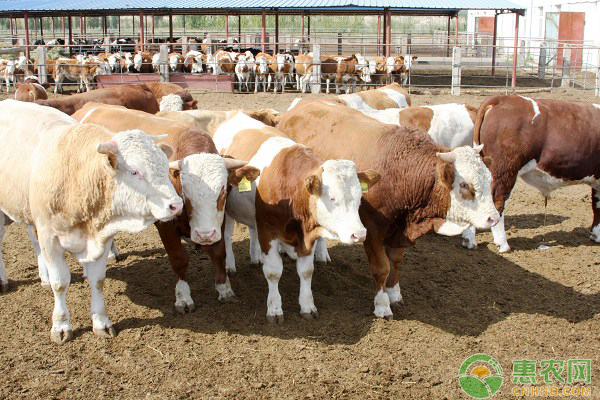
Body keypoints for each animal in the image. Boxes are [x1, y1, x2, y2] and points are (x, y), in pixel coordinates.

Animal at [213, 110, 378, 322]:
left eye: (359, 196)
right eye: (332, 198)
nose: (359, 234)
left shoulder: (307, 236)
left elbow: (306, 271)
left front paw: (307, 306)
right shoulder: (268, 230)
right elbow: (273, 272)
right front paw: (274, 308)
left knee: (251, 228)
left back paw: (255, 256)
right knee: (226, 235)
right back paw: (229, 265)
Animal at [278, 99, 500, 318]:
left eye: (488, 179)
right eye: (464, 185)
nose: (493, 218)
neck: (399, 172)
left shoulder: (400, 229)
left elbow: (395, 261)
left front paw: (394, 292)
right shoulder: (372, 230)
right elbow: (381, 268)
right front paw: (382, 305)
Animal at [472, 94, 600, 252]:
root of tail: (502, 98)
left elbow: (596, 205)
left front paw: (595, 235)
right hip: (505, 171)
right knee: (498, 202)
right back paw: (503, 244)